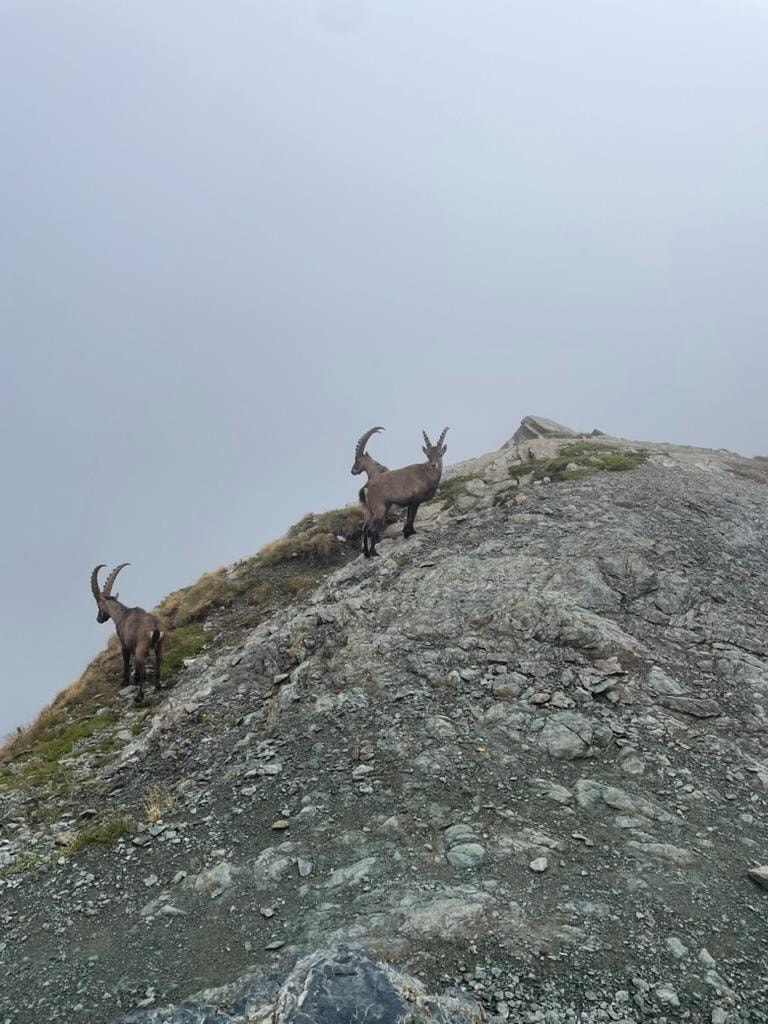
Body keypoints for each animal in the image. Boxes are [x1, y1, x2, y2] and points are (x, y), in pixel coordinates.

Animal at [90, 563, 164, 703]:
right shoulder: (133, 648)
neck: (122, 615)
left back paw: (138, 697)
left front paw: (125, 682)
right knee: (158, 667)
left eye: (99, 606)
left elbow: (125, 663)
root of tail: (155, 629)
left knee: (144, 674)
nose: (98, 619)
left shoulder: (125, 645)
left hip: (141, 649)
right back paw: (157, 686)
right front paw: (134, 678)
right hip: (159, 647)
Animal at [362, 427, 449, 558]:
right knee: (371, 530)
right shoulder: (415, 500)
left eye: (440, 454)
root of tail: (367, 488)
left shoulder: (410, 502)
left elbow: (409, 516)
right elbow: (412, 516)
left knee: (365, 529)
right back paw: (374, 552)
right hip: (380, 510)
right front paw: (411, 533)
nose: (434, 465)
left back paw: (367, 554)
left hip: (370, 512)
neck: (425, 474)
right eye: (428, 455)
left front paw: (407, 533)